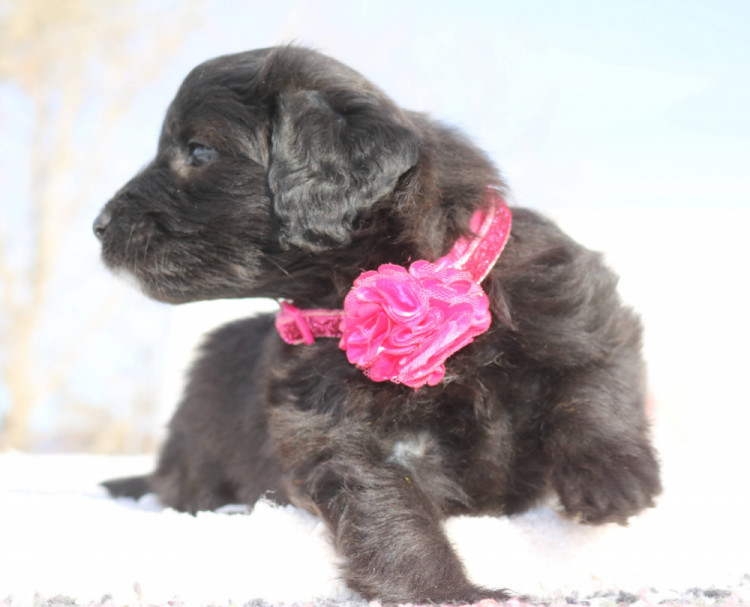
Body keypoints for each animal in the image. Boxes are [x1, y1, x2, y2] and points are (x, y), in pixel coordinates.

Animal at [94, 46, 661, 603]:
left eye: (199, 152)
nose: (98, 226)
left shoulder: (581, 309)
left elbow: (591, 385)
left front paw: (613, 478)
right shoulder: (334, 427)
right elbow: (390, 509)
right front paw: (449, 591)